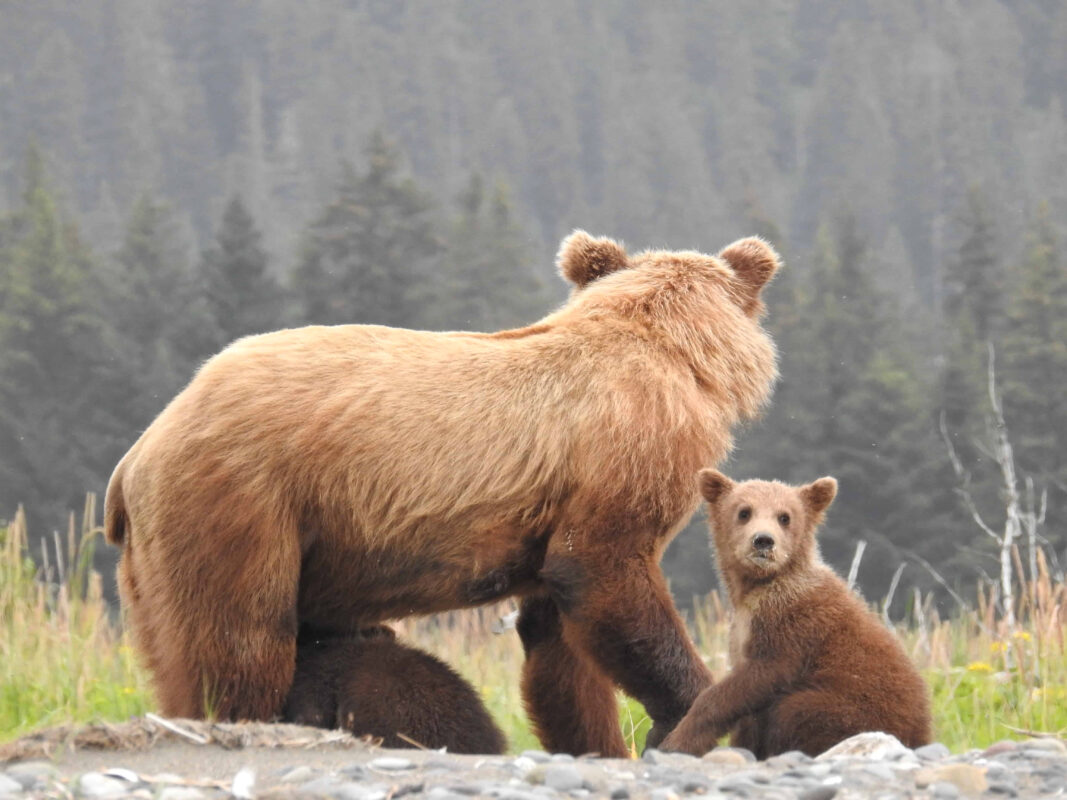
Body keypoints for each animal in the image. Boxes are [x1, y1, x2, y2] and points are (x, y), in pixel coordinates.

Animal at [660, 470, 932, 758]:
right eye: (744, 511)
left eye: (785, 516)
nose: (763, 540)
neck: (758, 587)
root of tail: (923, 735)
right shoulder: (745, 630)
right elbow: (747, 713)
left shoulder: (792, 626)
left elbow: (756, 679)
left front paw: (678, 740)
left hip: (857, 707)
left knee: (794, 711)